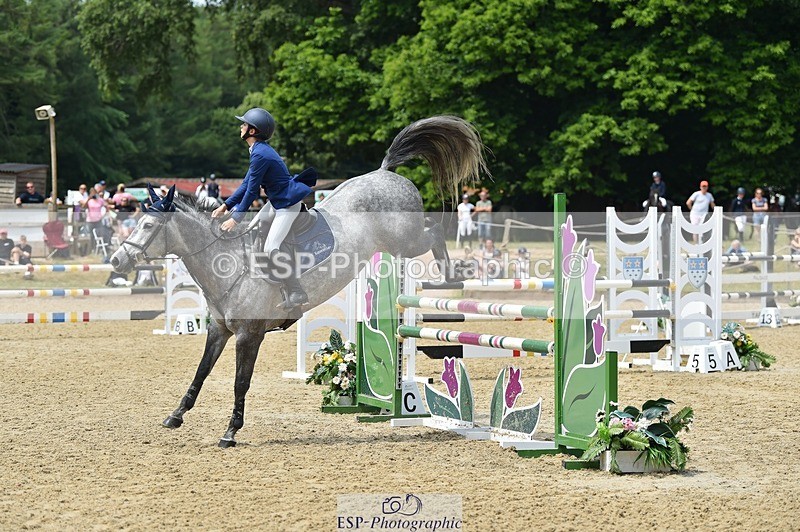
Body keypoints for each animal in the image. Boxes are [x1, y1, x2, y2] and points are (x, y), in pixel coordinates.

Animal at [110, 116, 488, 447]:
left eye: (147, 225)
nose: (116, 261)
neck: (228, 264)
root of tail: (384, 172)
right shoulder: (219, 329)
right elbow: (201, 372)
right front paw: (176, 415)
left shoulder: (249, 335)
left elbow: (240, 383)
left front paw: (231, 432)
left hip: (406, 239)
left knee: (435, 230)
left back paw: (451, 275)